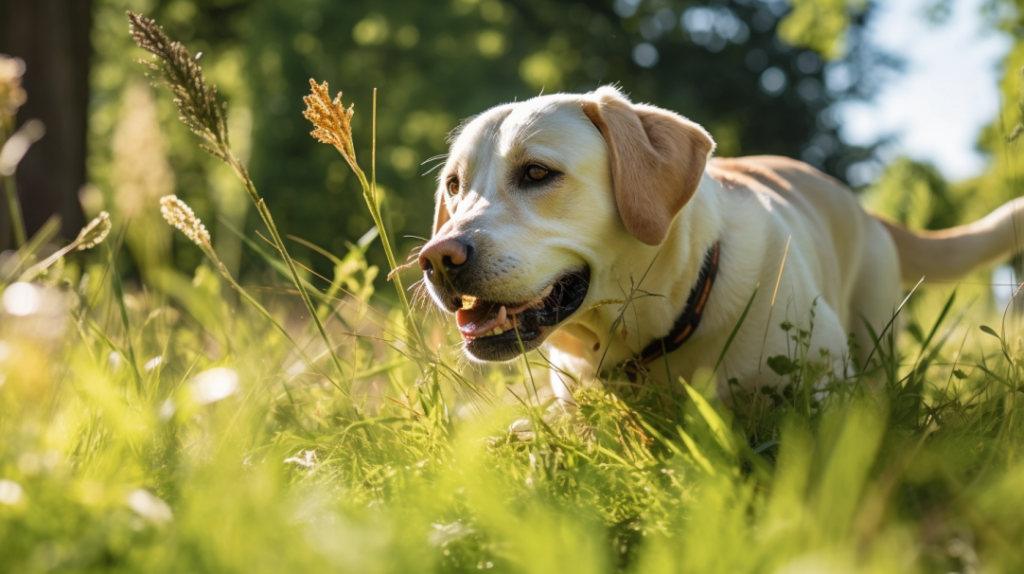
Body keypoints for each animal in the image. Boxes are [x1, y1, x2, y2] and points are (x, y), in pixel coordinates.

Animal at [415, 85, 1024, 403]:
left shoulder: (825, 387)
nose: (437, 258)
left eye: (538, 173)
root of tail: (865, 208)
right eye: (454, 185)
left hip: (874, 331)